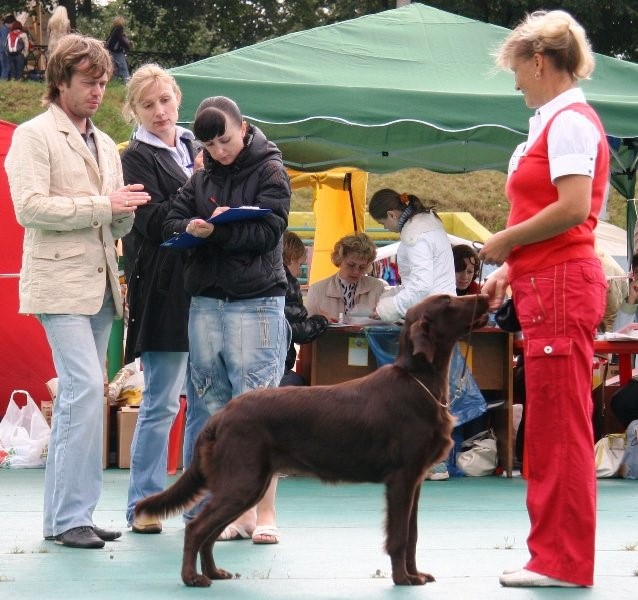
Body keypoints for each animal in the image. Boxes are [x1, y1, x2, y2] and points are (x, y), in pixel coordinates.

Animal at [136, 292, 490, 588]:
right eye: (448, 302)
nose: (486, 296)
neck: (420, 383)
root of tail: (220, 416)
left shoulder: (415, 482)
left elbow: (413, 535)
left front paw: (416, 575)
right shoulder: (402, 479)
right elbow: (400, 536)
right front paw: (403, 579)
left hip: (249, 485)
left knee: (209, 532)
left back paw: (214, 572)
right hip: (241, 482)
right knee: (196, 528)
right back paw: (192, 578)